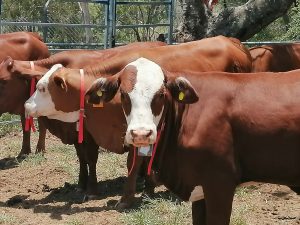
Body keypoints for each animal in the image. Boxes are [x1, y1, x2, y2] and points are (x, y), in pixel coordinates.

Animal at [24, 35, 253, 209]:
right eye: (124, 94)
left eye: (42, 87)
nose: (27, 106)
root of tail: (232, 41)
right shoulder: (96, 130)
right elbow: (89, 157)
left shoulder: (138, 130)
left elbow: (133, 163)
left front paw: (127, 198)